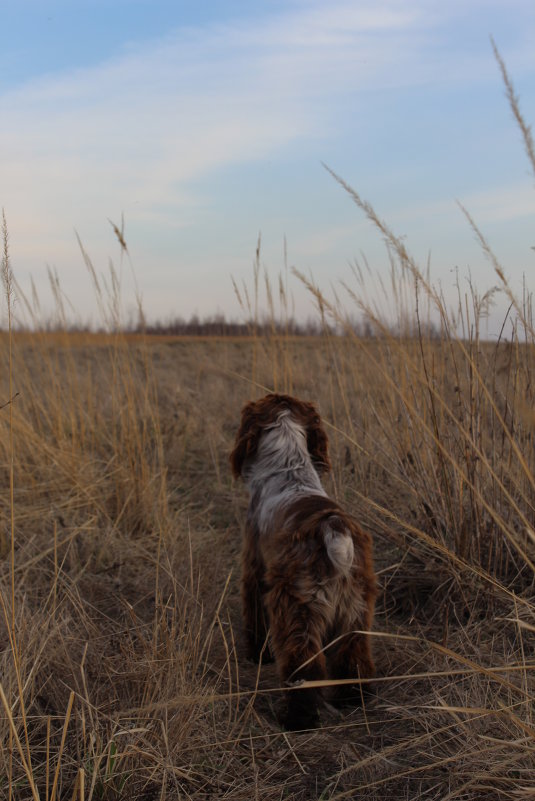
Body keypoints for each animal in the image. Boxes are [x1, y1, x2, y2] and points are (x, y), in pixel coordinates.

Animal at [230, 390, 376, 728]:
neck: (289, 468)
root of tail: (332, 526)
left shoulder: (255, 571)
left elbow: (255, 617)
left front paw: (257, 655)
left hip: (298, 611)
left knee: (304, 669)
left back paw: (297, 720)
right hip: (355, 612)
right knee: (353, 659)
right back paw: (353, 700)